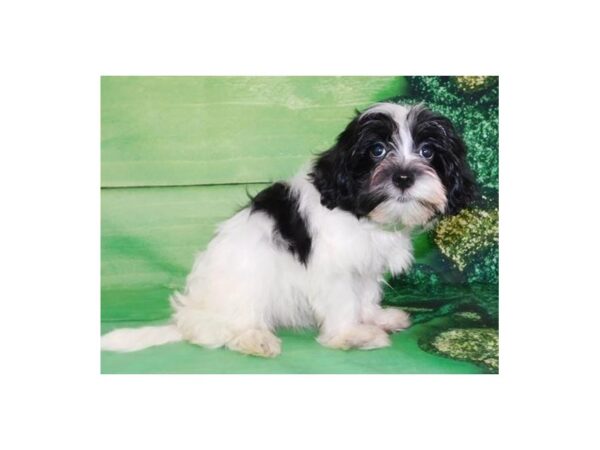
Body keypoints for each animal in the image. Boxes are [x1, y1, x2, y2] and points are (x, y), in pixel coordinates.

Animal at [104, 103, 478, 358]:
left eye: (428, 151)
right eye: (377, 150)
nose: (403, 176)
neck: (362, 216)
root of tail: (190, 314)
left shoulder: (365, 266)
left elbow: (365, 294)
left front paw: (375, 317)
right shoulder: (333, 270)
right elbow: (344, 301)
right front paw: (351, 335)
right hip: (246, 281)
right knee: (215, 331)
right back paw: (253, 338)